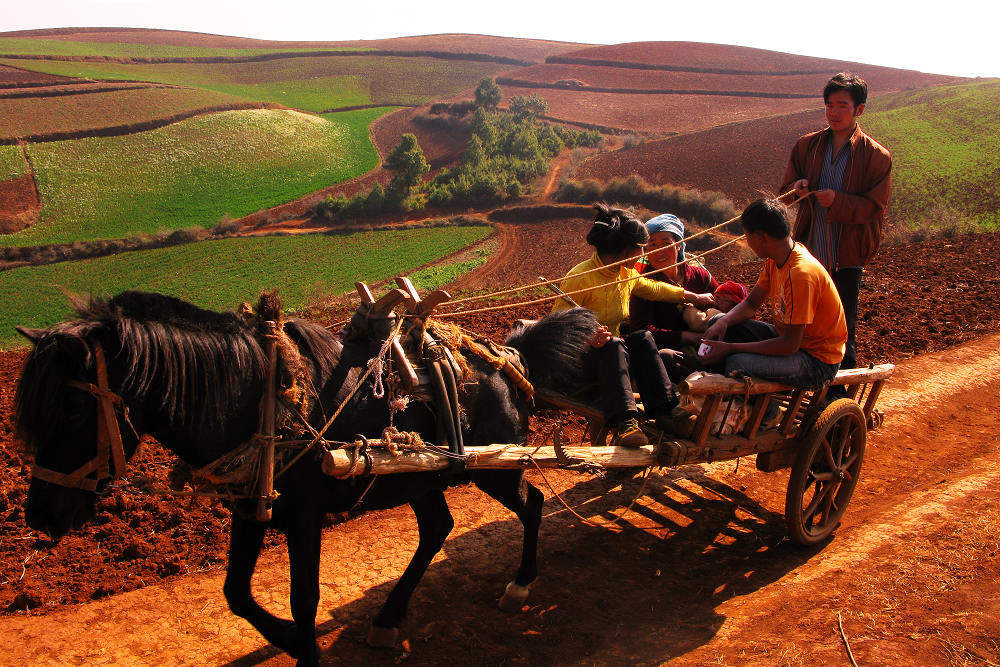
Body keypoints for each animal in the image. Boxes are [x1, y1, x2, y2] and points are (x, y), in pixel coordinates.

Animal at [15, 290, 596, 664]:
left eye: (71, 407)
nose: (40, 514)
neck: (256, 402)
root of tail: (505, 356)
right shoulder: (251, 508)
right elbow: (236, 593)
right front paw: (295, 642)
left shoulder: (303, 517)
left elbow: (303, 598)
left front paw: (304, 645)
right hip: (420, 475)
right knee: (438, 528)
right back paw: (388, 620)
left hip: (494, 464)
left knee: (532, 503)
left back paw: (520, 585)